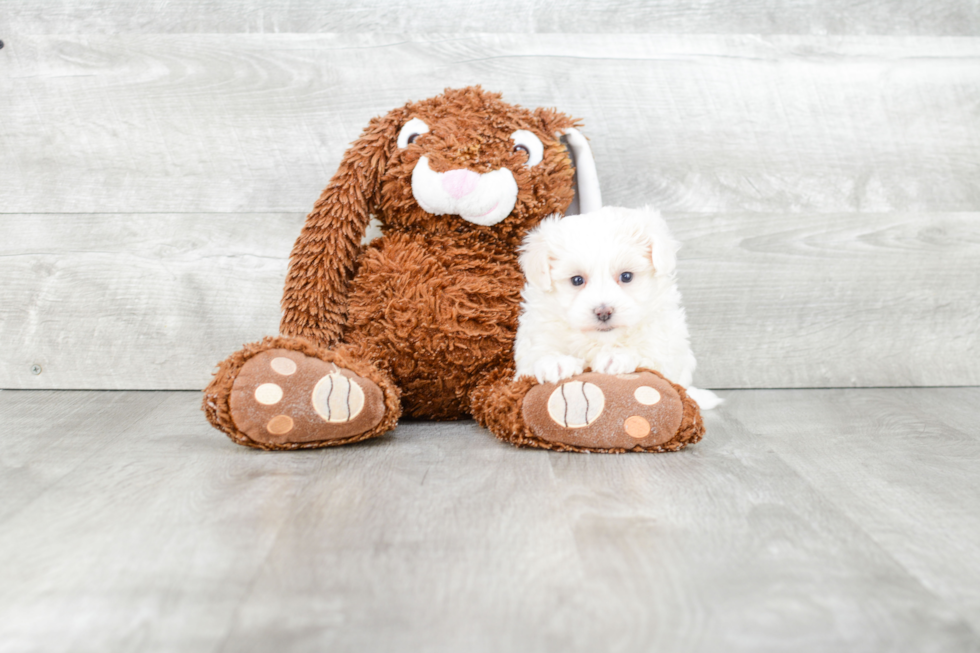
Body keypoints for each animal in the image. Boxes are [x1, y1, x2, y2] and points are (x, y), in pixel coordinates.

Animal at [512, 205, 720, 408]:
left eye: (626, 276)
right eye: (577, 280)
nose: (603, 312)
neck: (600, 340)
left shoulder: (663, 350)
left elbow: (648, 357)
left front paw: (616, 356)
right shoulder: (536, 339)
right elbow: (539, 353)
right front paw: (555, 361)